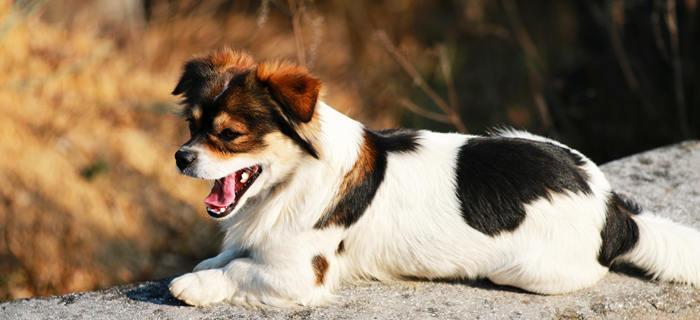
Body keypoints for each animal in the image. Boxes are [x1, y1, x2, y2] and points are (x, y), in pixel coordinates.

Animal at [168, 49, 700, 308]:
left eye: (229, 135)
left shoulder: (298, 275)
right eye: (192, 126)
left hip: (526, 270)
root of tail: (614, 209)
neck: (291, 181)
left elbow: (238, 270)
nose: (180, 157)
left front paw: (194, 286)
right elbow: (231, 255)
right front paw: (209, 263)